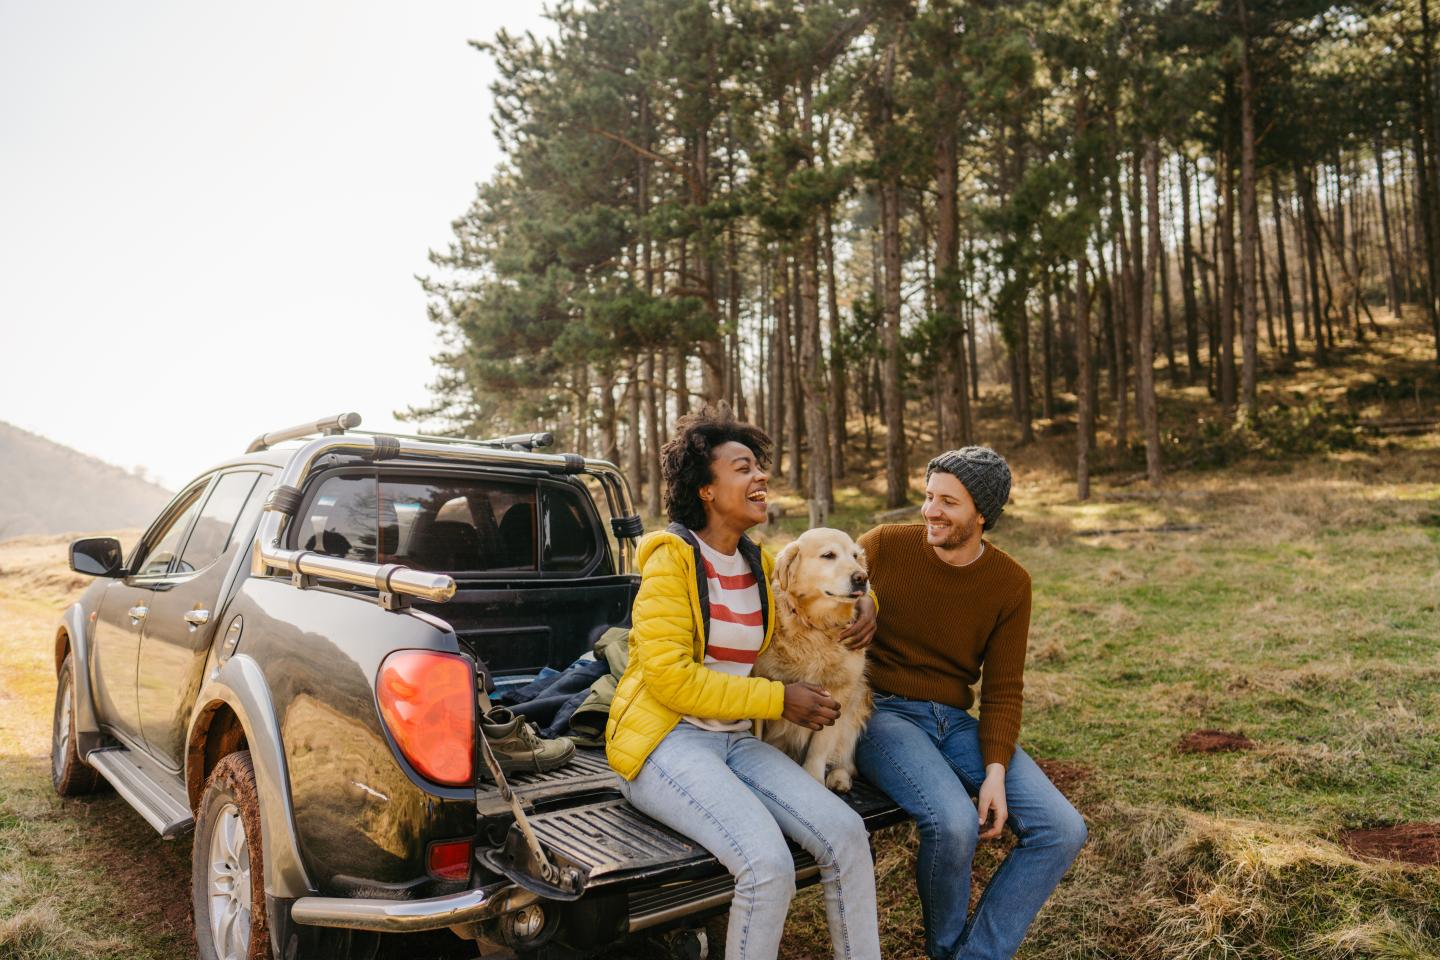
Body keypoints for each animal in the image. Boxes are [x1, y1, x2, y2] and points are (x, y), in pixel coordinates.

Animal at [760, 529, 869, 794]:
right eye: (828, 555)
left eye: (855, 556)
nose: (862, 577)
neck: (816, 627)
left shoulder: (839, 693)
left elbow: (820, 746)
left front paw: (814, 777)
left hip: (857, 702)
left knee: (847, 761)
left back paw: (839, 777)